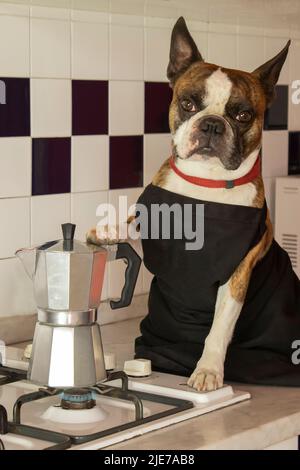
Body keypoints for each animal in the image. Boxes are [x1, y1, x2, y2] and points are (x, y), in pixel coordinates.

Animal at [88, 17, 300, 390]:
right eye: (188, 104)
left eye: (244, 115)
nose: (213, 124)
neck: (206, 183)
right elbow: (133, 218)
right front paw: (108, 229)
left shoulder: (236, 276)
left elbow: (218, 327)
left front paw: (208, 370)